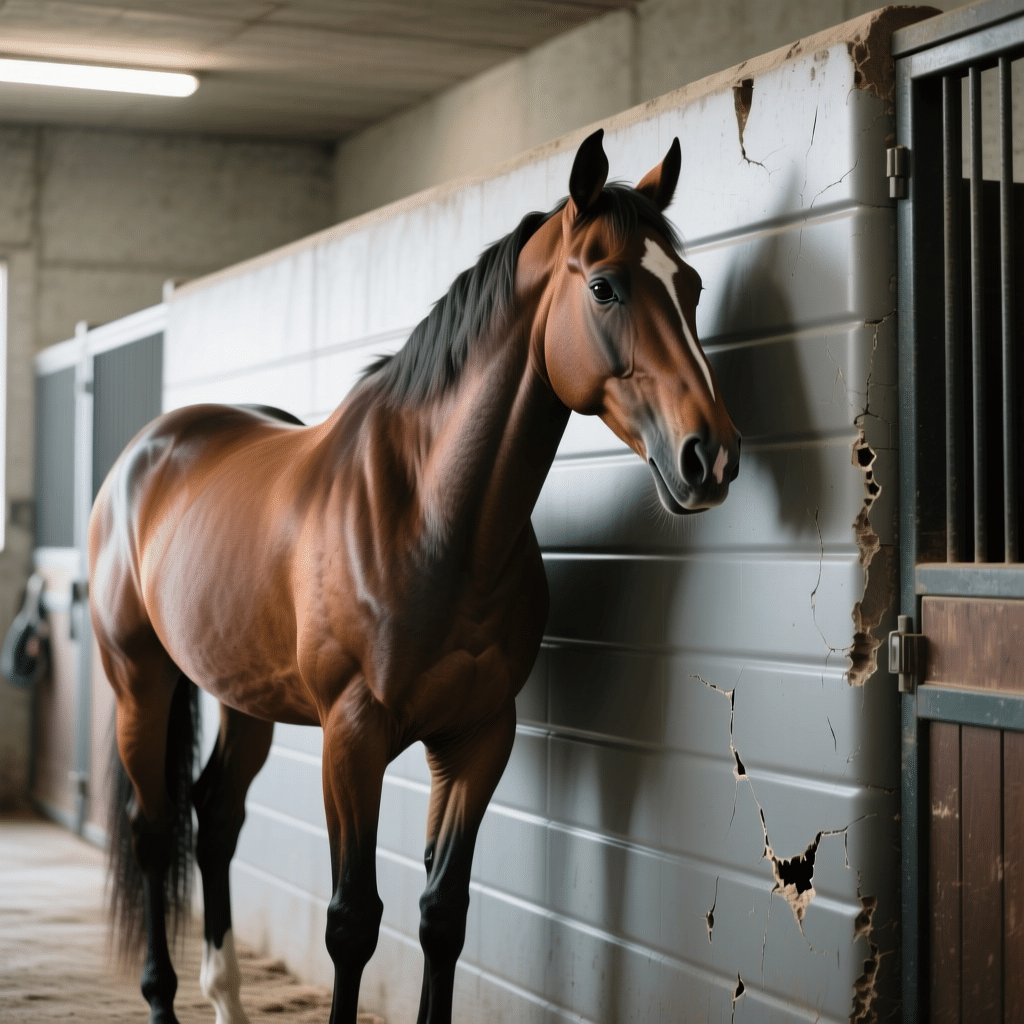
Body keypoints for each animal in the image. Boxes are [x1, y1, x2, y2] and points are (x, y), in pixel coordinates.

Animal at [91, 128, 740, 1024]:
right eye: (605, 286)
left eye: (692, 286)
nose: (709, 457)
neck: (435, 522)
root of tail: (149, 449)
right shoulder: (352, 738)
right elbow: (352, 923)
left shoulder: (478, 738)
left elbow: (443, 914)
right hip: (140, 682)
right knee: (155, 832)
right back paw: (161, 996)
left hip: (241, 695)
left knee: (214, 817)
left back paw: (225, 996)